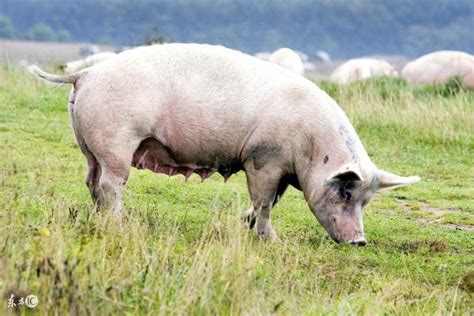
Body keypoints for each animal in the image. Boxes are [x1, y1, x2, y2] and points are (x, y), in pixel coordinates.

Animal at [29, 43, 418, 244]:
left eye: (366, 200)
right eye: (345, 192)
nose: (360, 241)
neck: (310, 145)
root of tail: (86, 73)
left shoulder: (279, 169)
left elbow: (270, 200)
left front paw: (245, 223)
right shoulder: (263, 158)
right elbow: (264, 201)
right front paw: (270, 239)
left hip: (89, 145)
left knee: (91, 181)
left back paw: (99, 218)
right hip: (116, 141)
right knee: (112, 184)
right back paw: (119, 225)